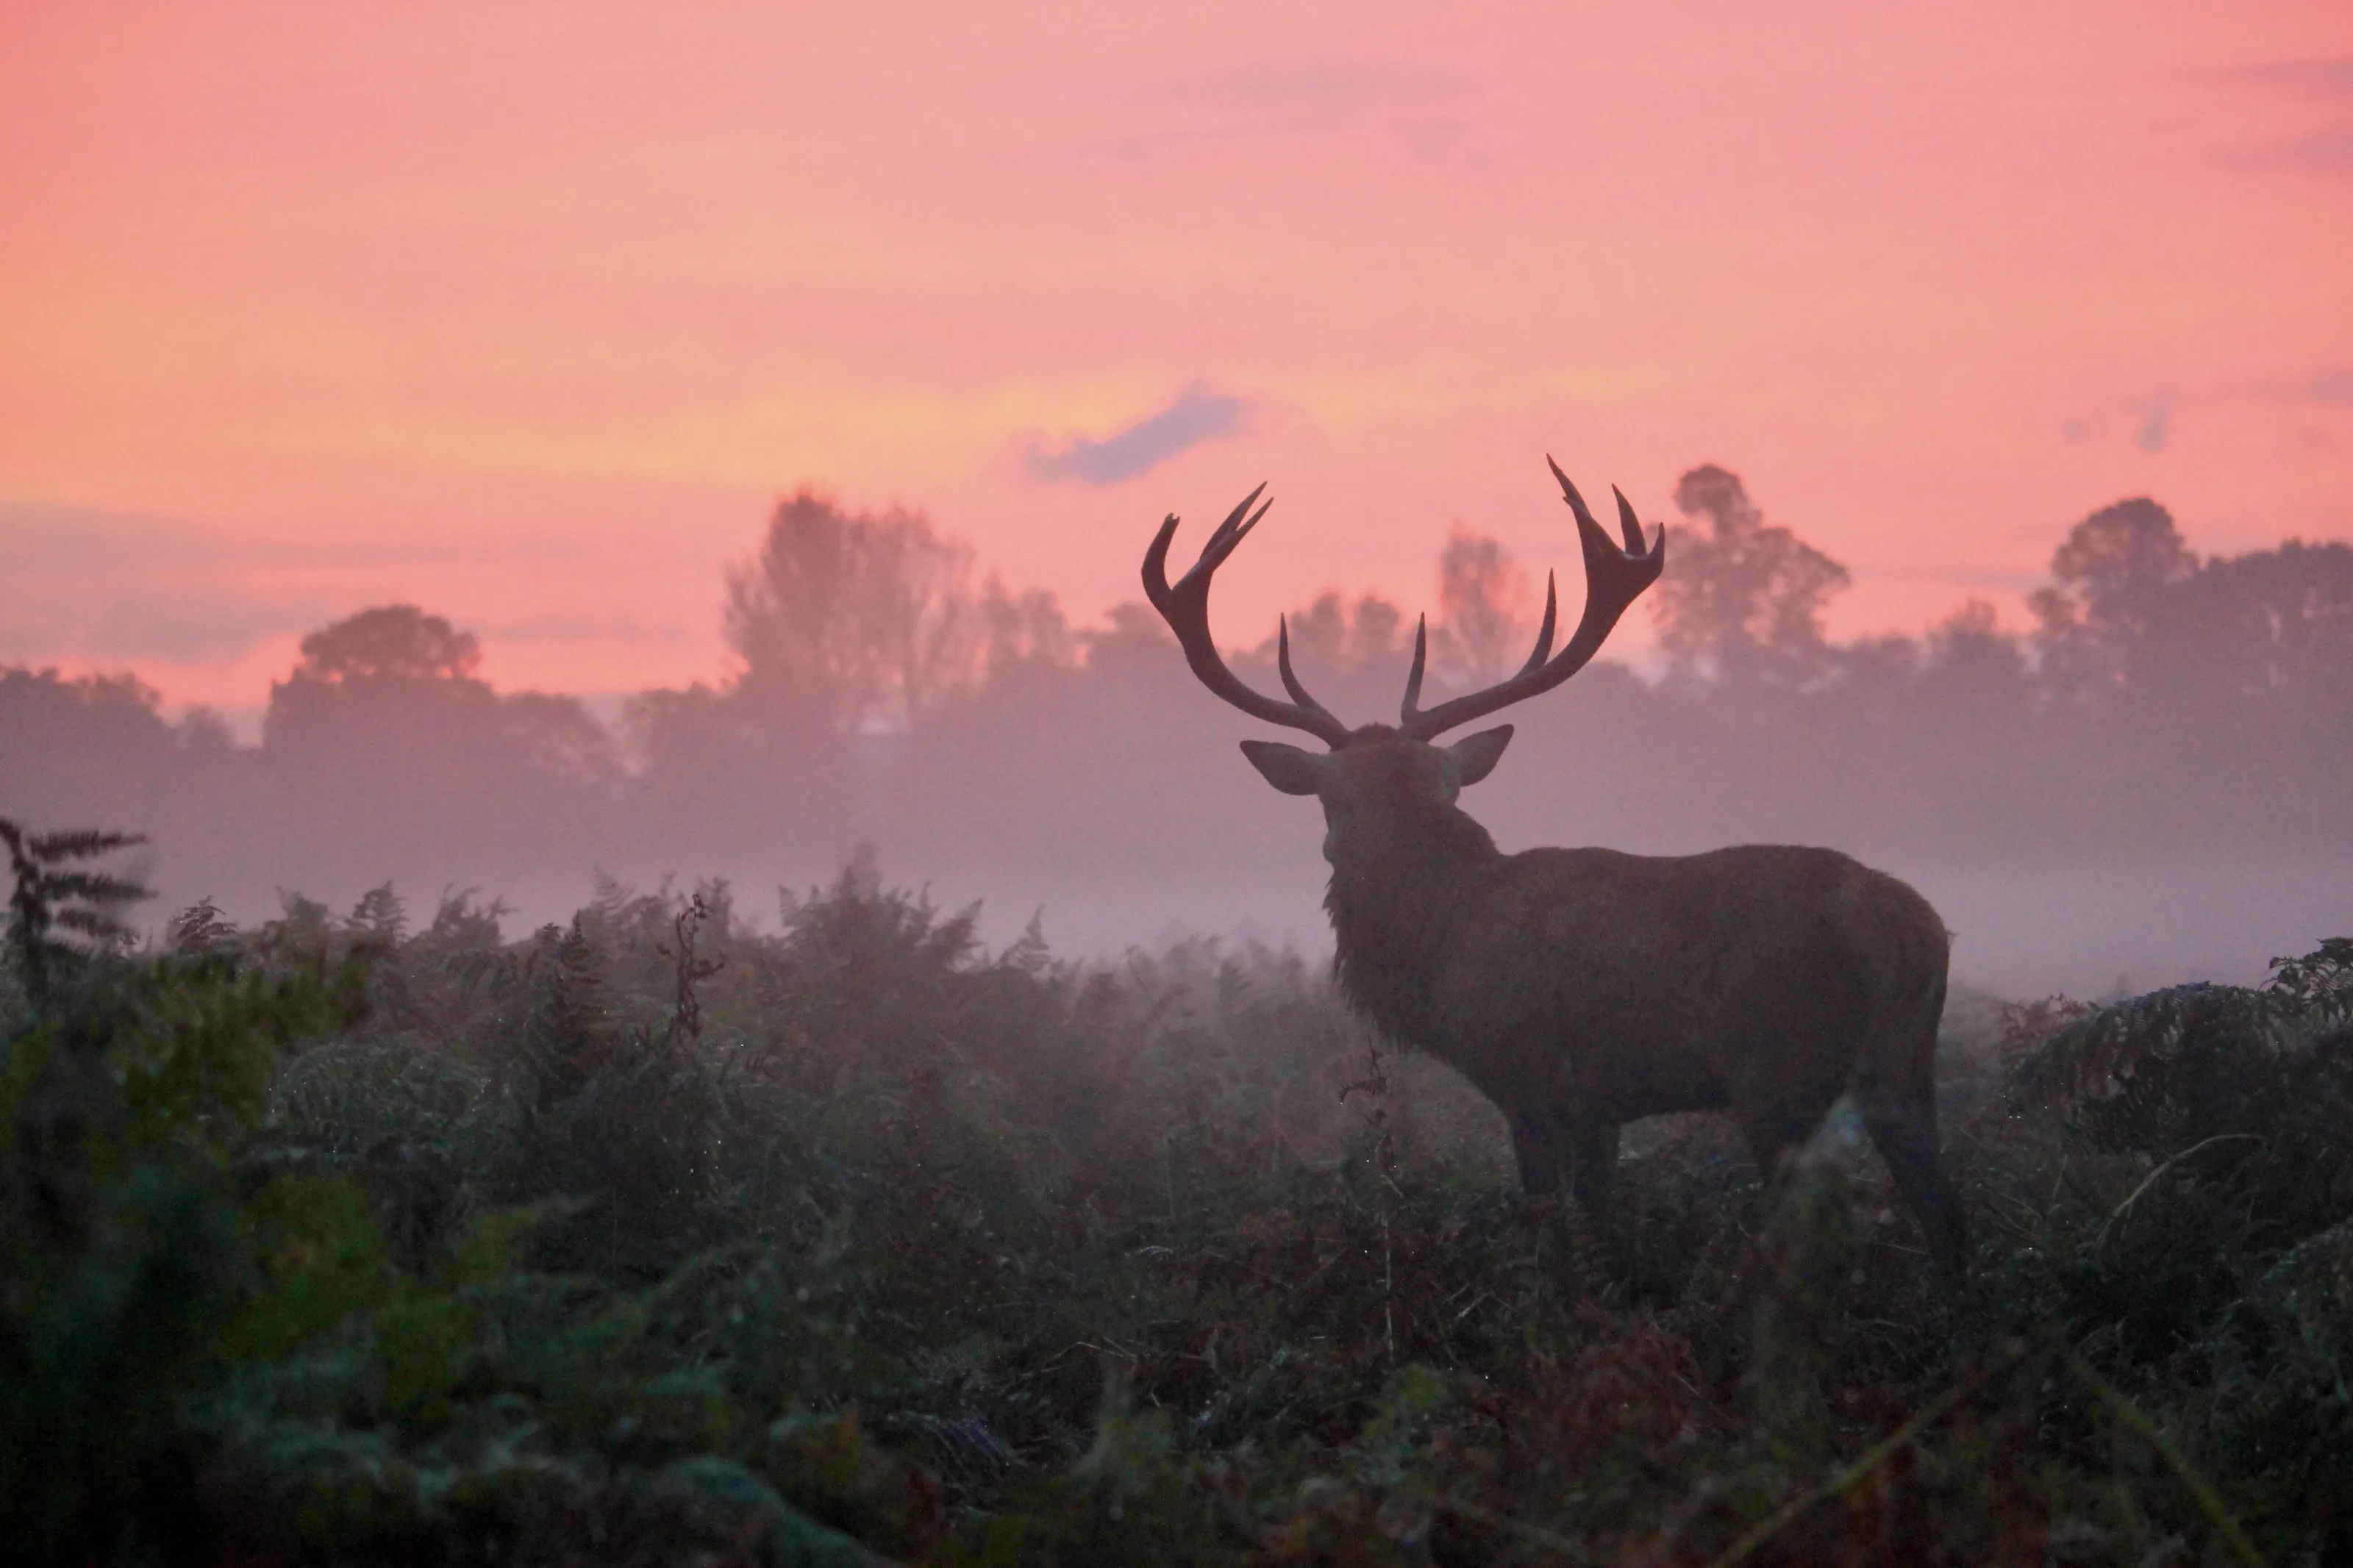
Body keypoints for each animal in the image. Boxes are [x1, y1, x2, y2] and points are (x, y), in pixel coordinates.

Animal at [1144, 460, 1969, 1284]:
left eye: (1329, 799)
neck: (1442, 943)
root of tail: (1911, 933)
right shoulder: (1599, 1100)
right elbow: (1601, 1219)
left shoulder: (1530, 1076)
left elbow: (1545, 1214)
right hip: (1904, 1065)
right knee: (1947, 1211)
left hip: (1779, 1067)